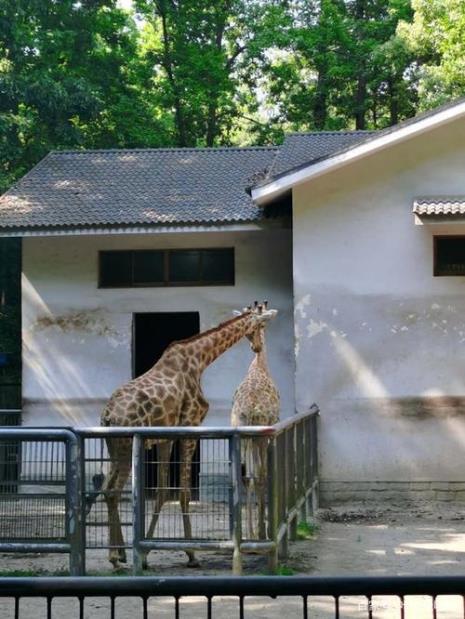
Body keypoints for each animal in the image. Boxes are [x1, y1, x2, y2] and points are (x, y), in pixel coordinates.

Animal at [94, 302, 276, 568]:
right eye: (261, 324)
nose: (258, 347)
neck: (200, 358)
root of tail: (107, 416)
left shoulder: (166, 437)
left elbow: (162, 492)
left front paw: (146, 552)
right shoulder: (190, 426)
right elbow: (184, 492)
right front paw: (190, 553)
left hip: (114, 447)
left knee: (107, 489)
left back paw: (119, 554)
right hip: (126, 447)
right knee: (114, 490)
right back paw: (115, 557)